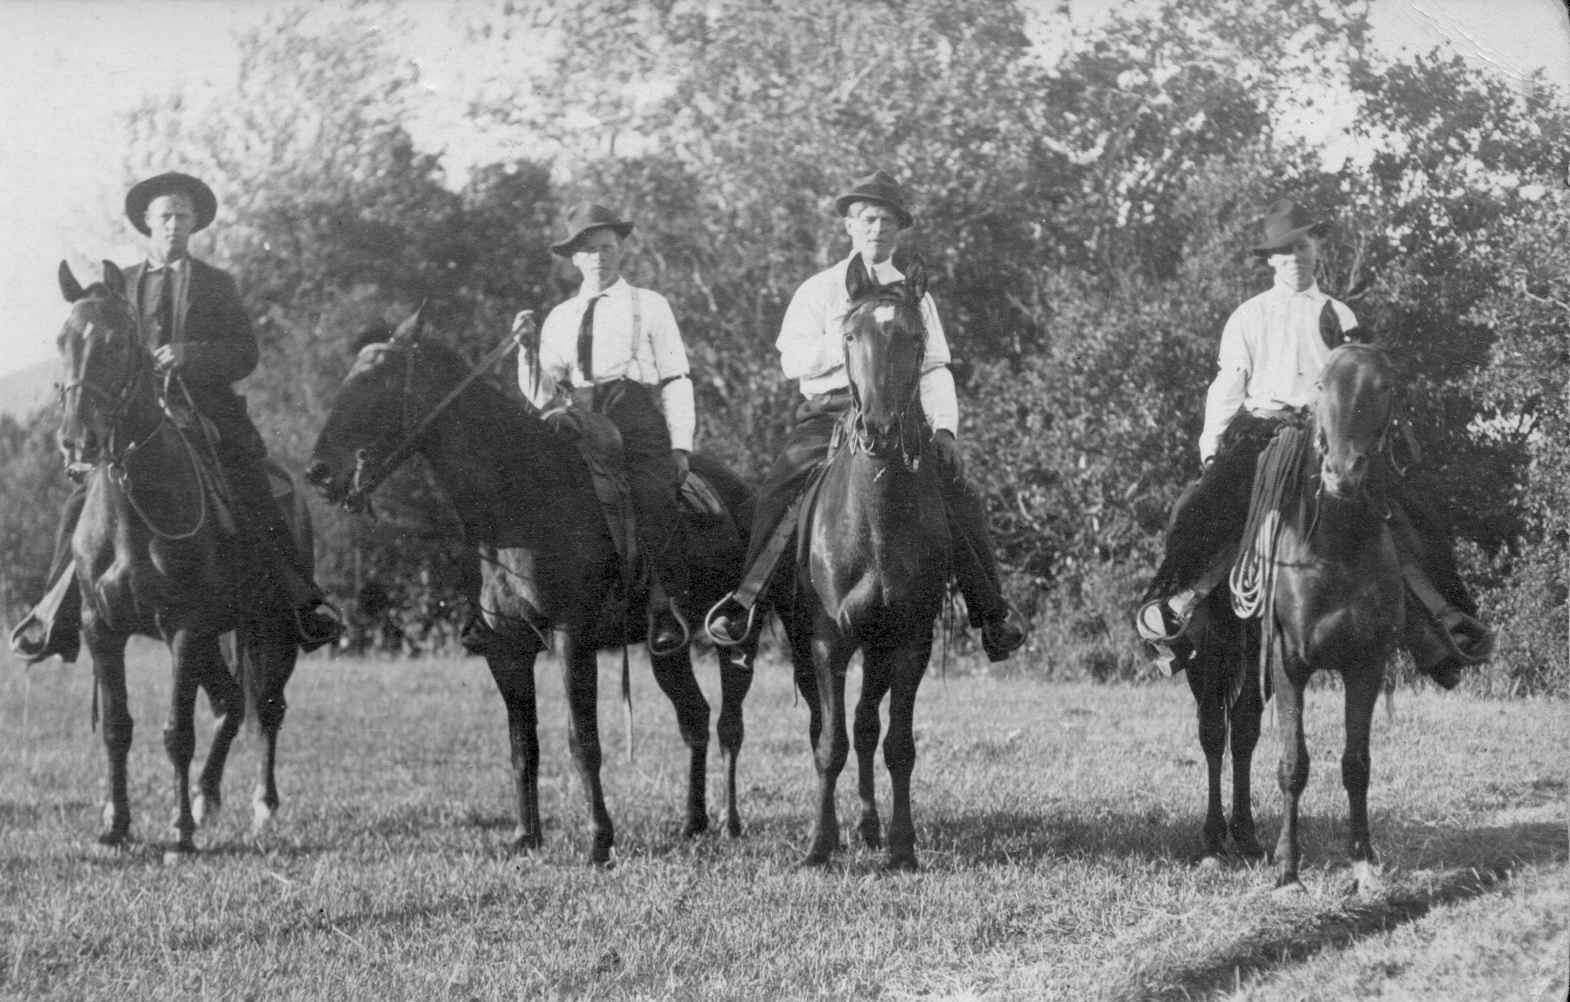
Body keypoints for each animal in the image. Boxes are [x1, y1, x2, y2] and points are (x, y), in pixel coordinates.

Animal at [52, 260, 299, 854]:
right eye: (62, 339)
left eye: (117, 342)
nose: (76, 440)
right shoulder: (102, 630)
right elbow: (118, 727)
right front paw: (116, 825)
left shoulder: (184, 628)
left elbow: (176, 732)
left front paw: (180, 832)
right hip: (218, 638)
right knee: (232, 703)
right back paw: (208, 795)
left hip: (273, 629)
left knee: (267, 707)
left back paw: (261, 803)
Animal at [303, 306, 756, 866]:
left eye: (377, 379)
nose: (319, 472)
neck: (521, 498)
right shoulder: (507, 648)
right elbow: (524, 746)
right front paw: (525, 836)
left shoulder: (570, 641)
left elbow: (582, 743)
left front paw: (599, 841)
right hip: (666, 649)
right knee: (694, 718)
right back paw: (693, 822)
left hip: (734, 634)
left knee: (730, 726)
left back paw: (731, 822)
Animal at [781, 260, 942, 873]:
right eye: (849, 336)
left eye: (915, 339)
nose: (878, 431)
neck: (875, 523)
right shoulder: (827, 641)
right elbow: (830, 745)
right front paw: (818, 845)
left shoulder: (910, 641)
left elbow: (897, 743)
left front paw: (901, 845)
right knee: (828, 728)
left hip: (877, 650)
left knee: (868, 726)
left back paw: (872, 827)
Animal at [1193, 342, 1406, 892]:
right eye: (1320, 384)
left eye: (1386, 386)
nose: (1342, 474)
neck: (1337, 548)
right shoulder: (1290, 663)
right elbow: (1293, 763)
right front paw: (1288, 869)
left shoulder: (1366, 664)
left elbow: (1356, 763)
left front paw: (1364, 862)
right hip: (1213, 657)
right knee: (1213, 734)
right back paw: (1213, 842)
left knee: (1243, 731)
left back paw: (1246, 837)